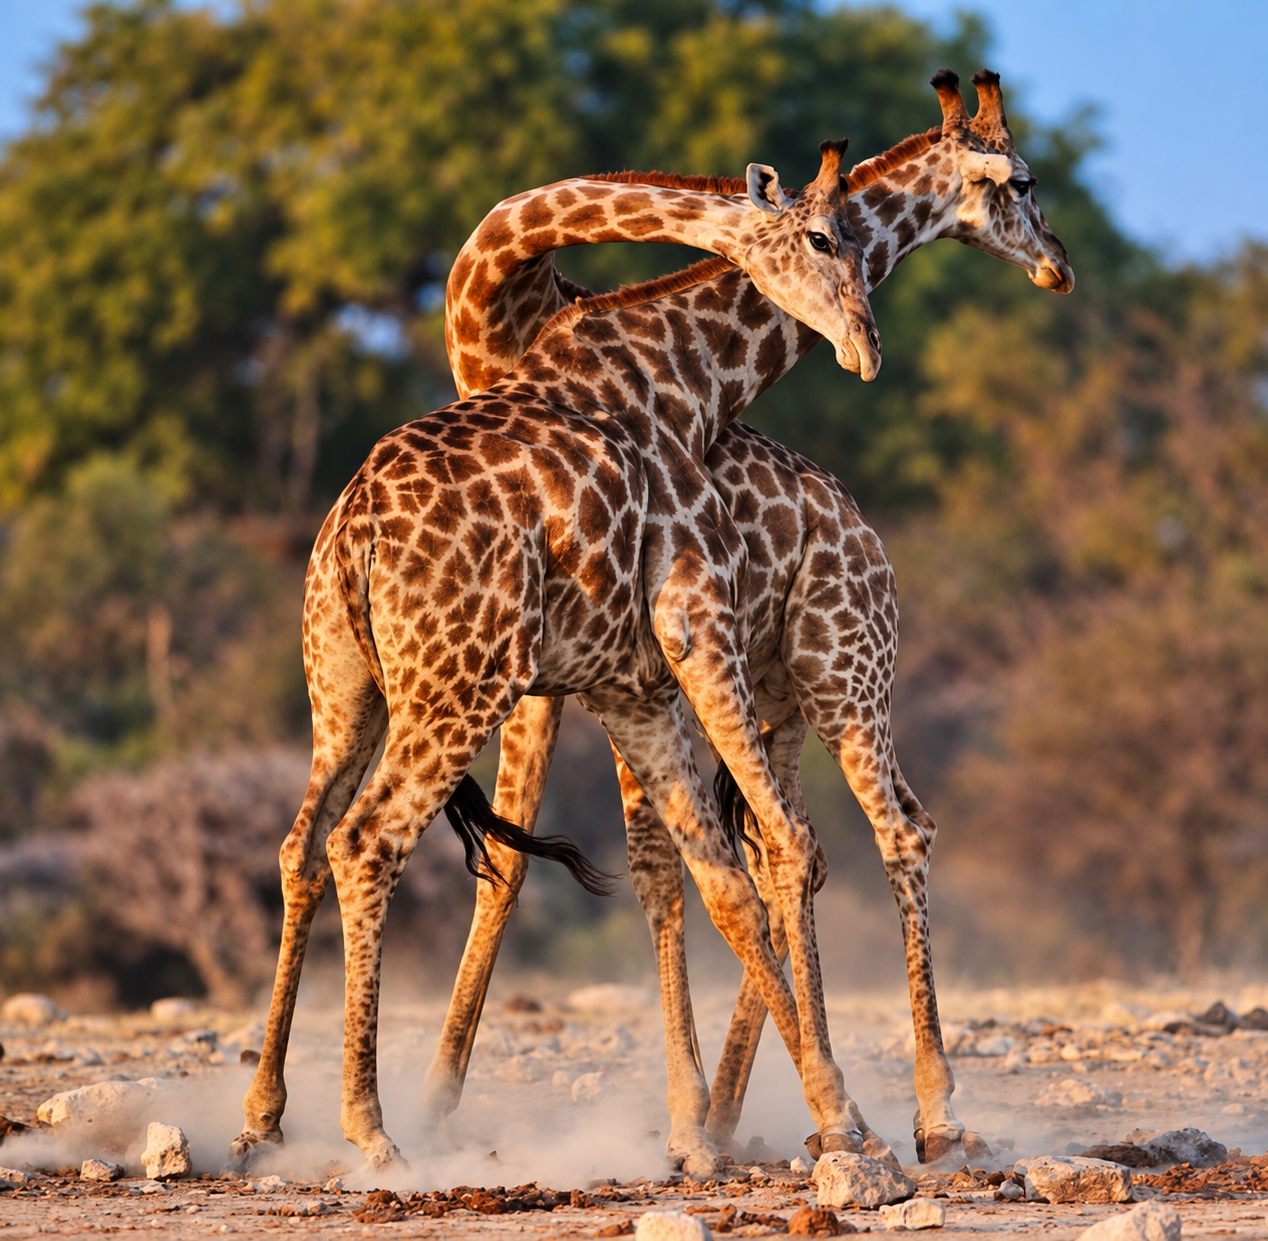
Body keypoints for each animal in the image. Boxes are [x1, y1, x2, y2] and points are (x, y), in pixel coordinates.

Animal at [231, 138, 887, 1174]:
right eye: (824, 236)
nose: (866, 343)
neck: (676, 380)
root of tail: (355, 530)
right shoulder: (689, 635)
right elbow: (769, 849)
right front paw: (833, 1117)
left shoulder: (636, 681)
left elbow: (713, 868)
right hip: (458, 685)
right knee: (368, 840)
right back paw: (372, 1127)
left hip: (344, 684)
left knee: (305, 841)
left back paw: (264, 1116)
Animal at [421, 70, 1074, 1169]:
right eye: (1021, 180)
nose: (1058, 265)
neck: (507, 296)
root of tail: (871, 545)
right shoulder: (586, 657)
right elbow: (584, 860)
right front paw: (435, 1099)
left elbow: (647, 859)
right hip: (782, 692)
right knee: (789, 848)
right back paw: (756, 1109)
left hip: (841, 676)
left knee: (881, 830)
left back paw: (923, 1114)